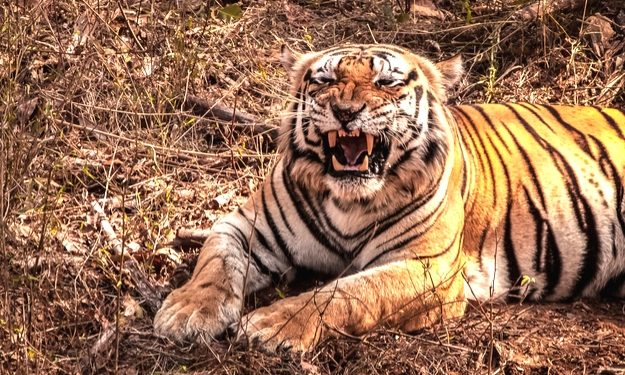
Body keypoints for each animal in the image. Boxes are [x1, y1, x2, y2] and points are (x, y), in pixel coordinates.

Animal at [154, 43, 624, 352]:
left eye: (385, 81)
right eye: (325, 79)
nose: (345, 112)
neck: (349, 203)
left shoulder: (427, 266)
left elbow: (347, 293)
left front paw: (273, 323)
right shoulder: (245, 225)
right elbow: (214, 262)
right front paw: (186, 312)